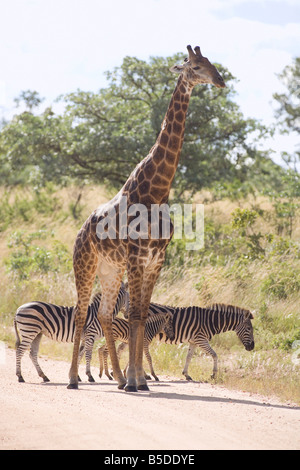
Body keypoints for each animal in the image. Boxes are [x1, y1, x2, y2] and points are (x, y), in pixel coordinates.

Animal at [68, 45, 225, 392]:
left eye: (212, 63)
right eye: (195, 66)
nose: (221, 81)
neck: (158, 191)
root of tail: (80, 231)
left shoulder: (156, 260)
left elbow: (139, 315)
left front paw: (138, 380)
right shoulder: (138, 257)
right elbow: (136, 316)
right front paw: (135, 381)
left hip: (110, 270)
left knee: (106, 315)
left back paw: (116, 377)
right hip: (85, 265)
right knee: (81, 313)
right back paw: (73, 379)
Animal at [123, 302, 254, 382]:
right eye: (249, 329)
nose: (252, 347)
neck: (211, 321)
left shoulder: (194, 341)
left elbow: (189, 357)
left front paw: (186, 374)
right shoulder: (201, 339)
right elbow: (214, 354)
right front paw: (213, 374)